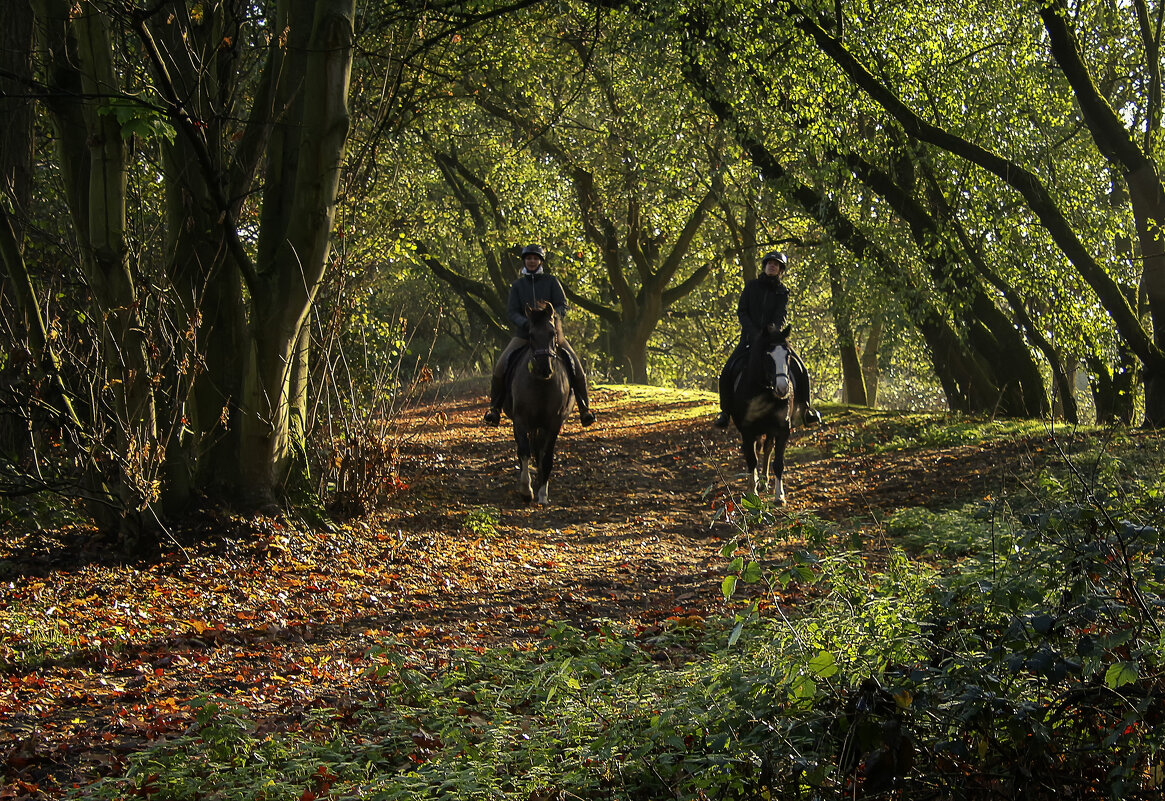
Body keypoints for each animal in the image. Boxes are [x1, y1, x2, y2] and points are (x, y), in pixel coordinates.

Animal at [500, 302, 573, 502]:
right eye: (531, 334)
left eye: (553, 333)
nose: (544, 368)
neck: (542, 385)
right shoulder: (520, 420)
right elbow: (524, 451)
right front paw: (526, 490)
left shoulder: (554, 423)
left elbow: (546, 456)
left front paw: (543, 494)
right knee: (524, 449)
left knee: (540, 451)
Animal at [731, 321, 796, 502]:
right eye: (768, 356)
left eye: (788, 354)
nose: (783, 389)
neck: (764, 392)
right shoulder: (747, 430)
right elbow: (752, 459)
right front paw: (752, 492)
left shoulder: (782, 429)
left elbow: (778, 462)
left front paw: (779, 496)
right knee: (753, 452)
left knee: (767, 449)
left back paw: (764, 482)